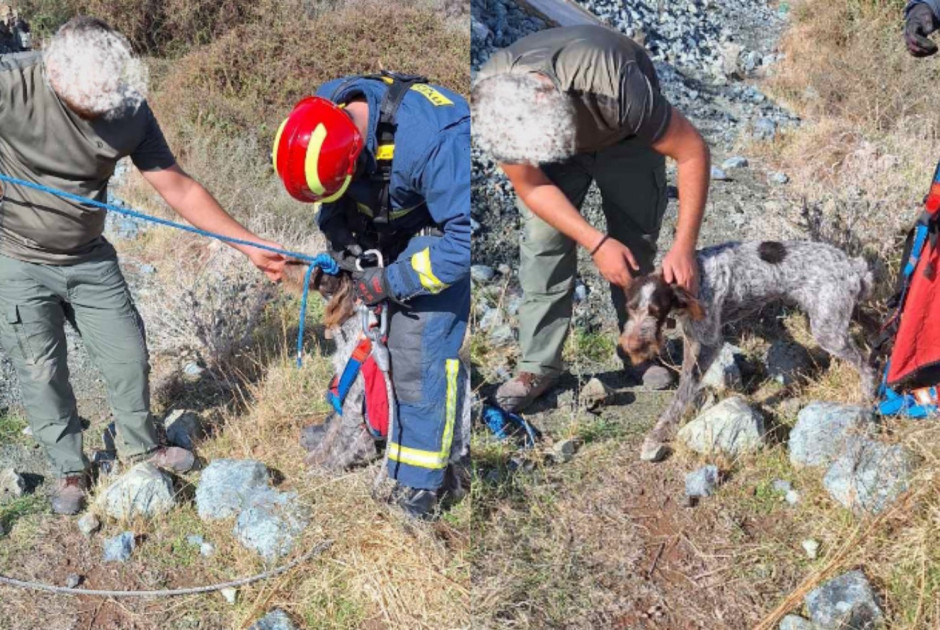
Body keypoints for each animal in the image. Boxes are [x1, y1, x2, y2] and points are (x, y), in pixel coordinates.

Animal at [620, 242, 876, 464]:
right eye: (630, 308)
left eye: (656, 311)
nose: (632, 347)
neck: (695, 280)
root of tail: (852, 264)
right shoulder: (692, 340)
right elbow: (686, 386)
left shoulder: (710, 343)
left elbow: (682, 393)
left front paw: (659, 433)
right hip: (841, 313)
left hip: (828, 329)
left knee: (866, 364)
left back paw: (868, 400)